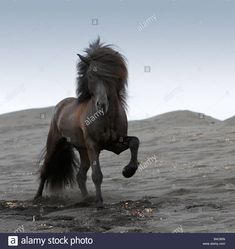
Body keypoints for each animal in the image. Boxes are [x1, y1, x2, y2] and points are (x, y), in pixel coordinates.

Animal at [34, 37, 140, 208]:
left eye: (110, 77)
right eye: (90, 76)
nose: (101, 104)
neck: (107, 117)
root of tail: (61, 105)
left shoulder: (115, 143)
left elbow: (135, 142)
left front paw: (128, 171)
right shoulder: (94, 145)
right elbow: (97, 175)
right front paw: (100, 203)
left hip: (83, 151)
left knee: (80, 176)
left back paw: (85, 198)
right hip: (56, 143)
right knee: (45, 170)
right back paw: (37, 198)